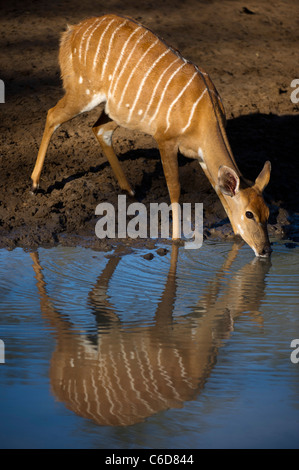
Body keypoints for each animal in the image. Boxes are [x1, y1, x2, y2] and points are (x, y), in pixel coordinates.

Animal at [31, 13, 274, 258]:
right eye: (249, 214)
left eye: (267, 213)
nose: (265, 249)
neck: (204, 114)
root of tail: (71, 31)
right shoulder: (165, 140)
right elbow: (175, 190)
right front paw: (176, 240)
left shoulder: (201, 155)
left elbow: (217, 188)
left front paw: (235, 235)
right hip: (83, 92)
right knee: (52, 115)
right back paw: (35, 184)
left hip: (116, 109)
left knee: (99, 130)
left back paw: (130, 190)